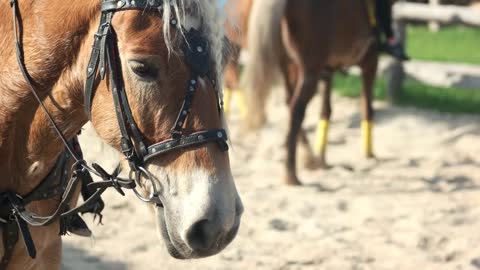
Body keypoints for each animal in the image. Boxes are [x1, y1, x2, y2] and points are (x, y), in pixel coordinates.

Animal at [239, 0, 378, 186]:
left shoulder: (328, 69)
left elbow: (326, 110)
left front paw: (323, 157)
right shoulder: (370, 60)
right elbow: (367, 107)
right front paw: (369, 155)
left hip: (291, 65)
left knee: (290, 104)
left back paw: (308, 159)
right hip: (309, 68)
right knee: (297, 109)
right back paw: (292, 173)